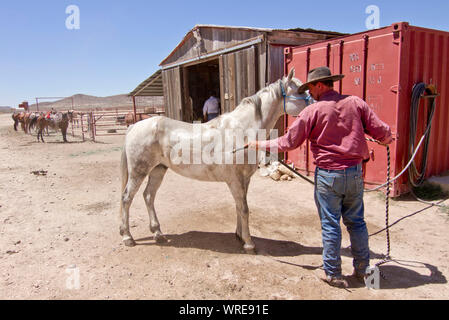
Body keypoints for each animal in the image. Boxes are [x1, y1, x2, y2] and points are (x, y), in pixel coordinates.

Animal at [117, 69, 310, 254]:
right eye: (300, 91)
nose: (315, 106)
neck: (242, 131)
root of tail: (134, 126)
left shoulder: (244, 180)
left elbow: (239, 207)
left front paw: (240, 236)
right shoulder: (235, 180)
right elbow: (244, 209)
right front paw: (249, 244)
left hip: (158, 169)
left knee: (148, 196)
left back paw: (157, 233)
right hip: (139, 171)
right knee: (126, 198)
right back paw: (127, 237)